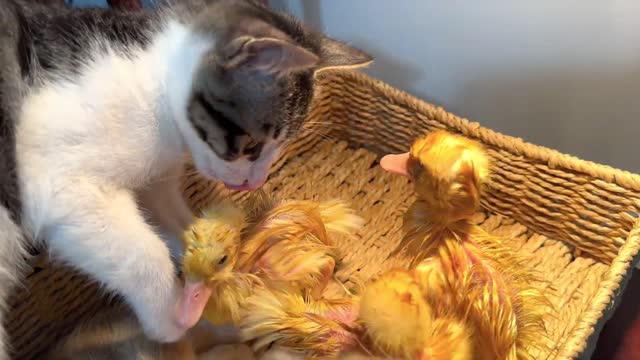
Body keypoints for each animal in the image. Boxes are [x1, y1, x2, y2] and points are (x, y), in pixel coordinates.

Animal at [0, 0, 372, 358]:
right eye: (252, 146)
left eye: (283, 144)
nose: (254, 182)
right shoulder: (60, 183)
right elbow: (144, 254)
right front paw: (171, 317)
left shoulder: (157, 182)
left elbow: (180, 223)